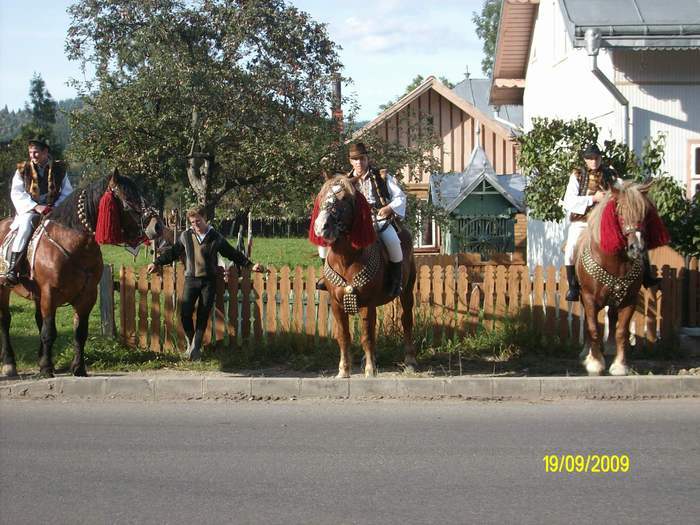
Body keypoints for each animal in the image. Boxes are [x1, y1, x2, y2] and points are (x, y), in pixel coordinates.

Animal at [0, 170, 161, 378]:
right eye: (128, 198)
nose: (157, 226)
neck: (73, 245)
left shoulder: (87, 296)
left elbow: (80, 332)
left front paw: (78, 367)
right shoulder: (50, 293)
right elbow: (48, 332)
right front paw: (46, 368)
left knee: (37, 320)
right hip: (4, 289)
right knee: (5, 321)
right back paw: (9, 363)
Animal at [310, 176, 416, 376]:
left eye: (345, 199)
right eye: (322, 196)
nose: (321, 227)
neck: (346, 259)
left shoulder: (368, 303)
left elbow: (367, 336)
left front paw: (370, 370)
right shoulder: (336, 304)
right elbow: (344, 336)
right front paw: (344, 370)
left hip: (407, 293)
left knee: (406, 321)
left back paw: (409, 361)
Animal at [576, 178, 668, 374]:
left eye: (645, 213)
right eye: (619, 212)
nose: (637, 248)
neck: (615, 262)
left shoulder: (629, 300)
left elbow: (621, 331)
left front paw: (619, 365)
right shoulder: (588, 298)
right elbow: (593, 328)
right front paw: (595, 362)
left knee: (612, 318)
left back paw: (609, 348)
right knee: (589, 322)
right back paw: (587, 352)